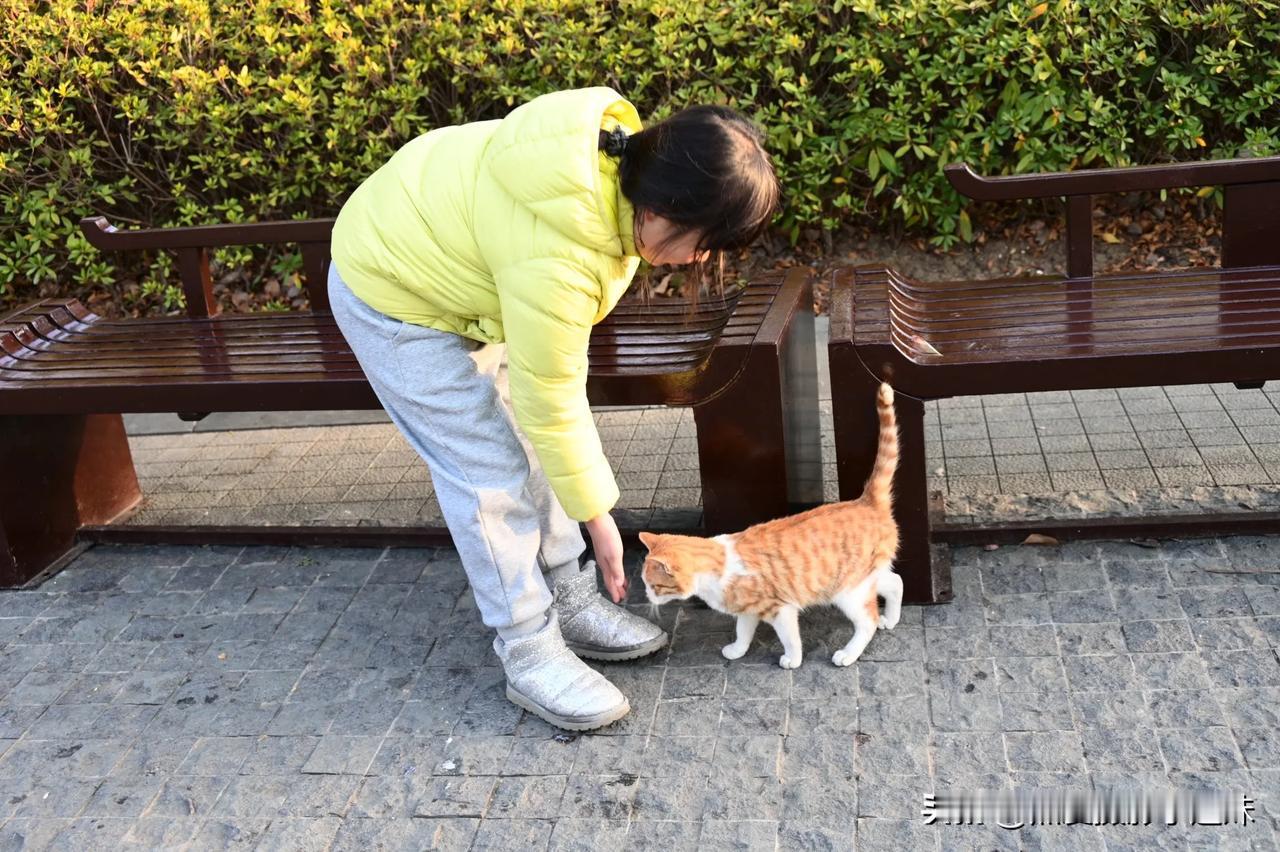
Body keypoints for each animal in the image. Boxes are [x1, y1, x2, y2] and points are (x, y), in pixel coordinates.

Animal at [640, 381, 901, 665]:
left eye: (654, 585)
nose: (646, 597)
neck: (715, 568)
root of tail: (866, 501)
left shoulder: (780, 608)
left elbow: (789, 638)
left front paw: (792, 659)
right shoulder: (747, 608)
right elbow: (742, 630)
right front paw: (737, 650)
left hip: (848, 590)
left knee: (868, 621)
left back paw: (848, 653)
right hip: (861, 577)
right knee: (896, 582)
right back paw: (891, 618)